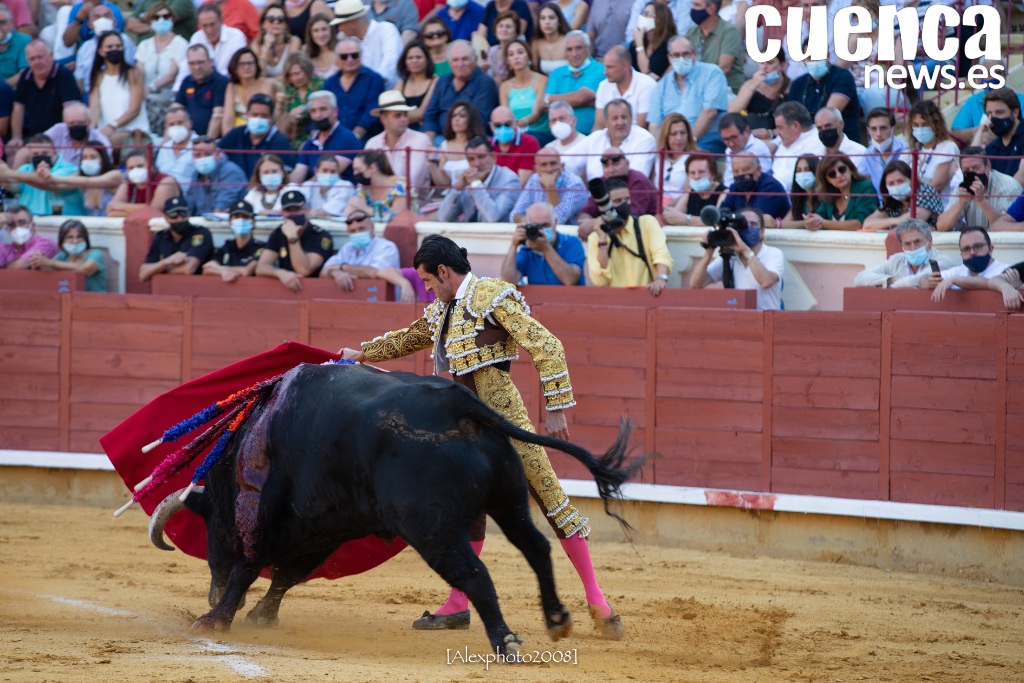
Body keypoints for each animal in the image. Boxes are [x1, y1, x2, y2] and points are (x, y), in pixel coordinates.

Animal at [147, 362, 642, 655]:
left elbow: (250, 565)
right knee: (537, 547)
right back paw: (557, 619)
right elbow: (289, 573)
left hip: (431, 528)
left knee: (475, 574)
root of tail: (458, 404)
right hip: (509, 499)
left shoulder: (263, 507)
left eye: (210, 522)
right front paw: (260, 616)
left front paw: (215, 619)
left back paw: (506, 642)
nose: (210, 593)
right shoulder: (328, 524)